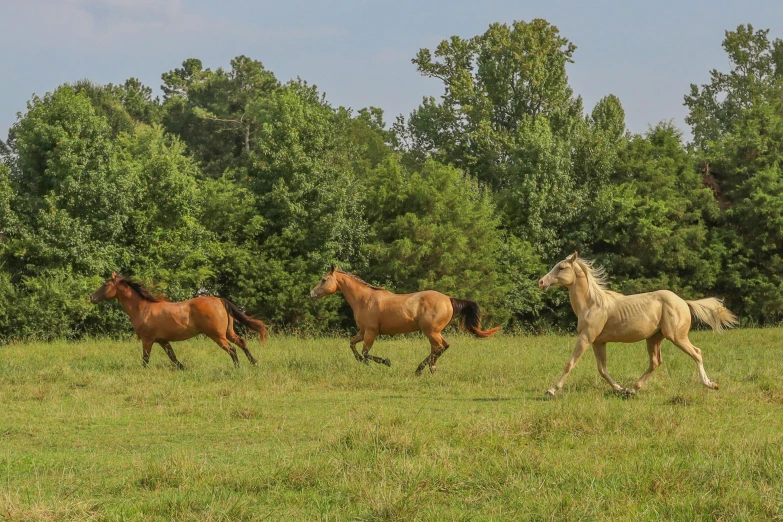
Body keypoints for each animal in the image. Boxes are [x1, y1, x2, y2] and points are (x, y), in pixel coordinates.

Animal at [89, 272, 270, 366]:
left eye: (105, 285)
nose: (91, 297)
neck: (143, 308)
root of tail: (219, 300)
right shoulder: (162, 340)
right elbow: (173, 358)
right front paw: (183, 368)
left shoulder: (147, 340)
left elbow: (146, 360)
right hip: (228, 332)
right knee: (242, 343)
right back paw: (254, 363)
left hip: (217, 335)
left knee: (232, 349)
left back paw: (237, 367)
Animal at [308, 264, 500, 374]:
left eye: (324, 279)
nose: (312, 293)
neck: (364, 299)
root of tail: (449, 299)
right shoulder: (363, 331)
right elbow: (352, 345)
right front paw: (362, 362)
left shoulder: (371, 332)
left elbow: (366, 352)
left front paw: (385, 362)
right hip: (434, 332)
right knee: (439, 348)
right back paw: (429, 368)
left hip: (431, 331)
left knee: (440, 347)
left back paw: (422, 369)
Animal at [536, 251, 740, 394]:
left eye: (561, 267)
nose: (541, 282)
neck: (592, 304)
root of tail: (683, 302)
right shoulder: (598, 341)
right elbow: (602, 369)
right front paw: (620, 389)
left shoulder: (586, 337)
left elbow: (570, 363)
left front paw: (551, 390)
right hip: (654, 338)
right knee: (655, 362)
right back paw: (633, 389)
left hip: (677, 337)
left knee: (696, 353)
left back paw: (710, 384)